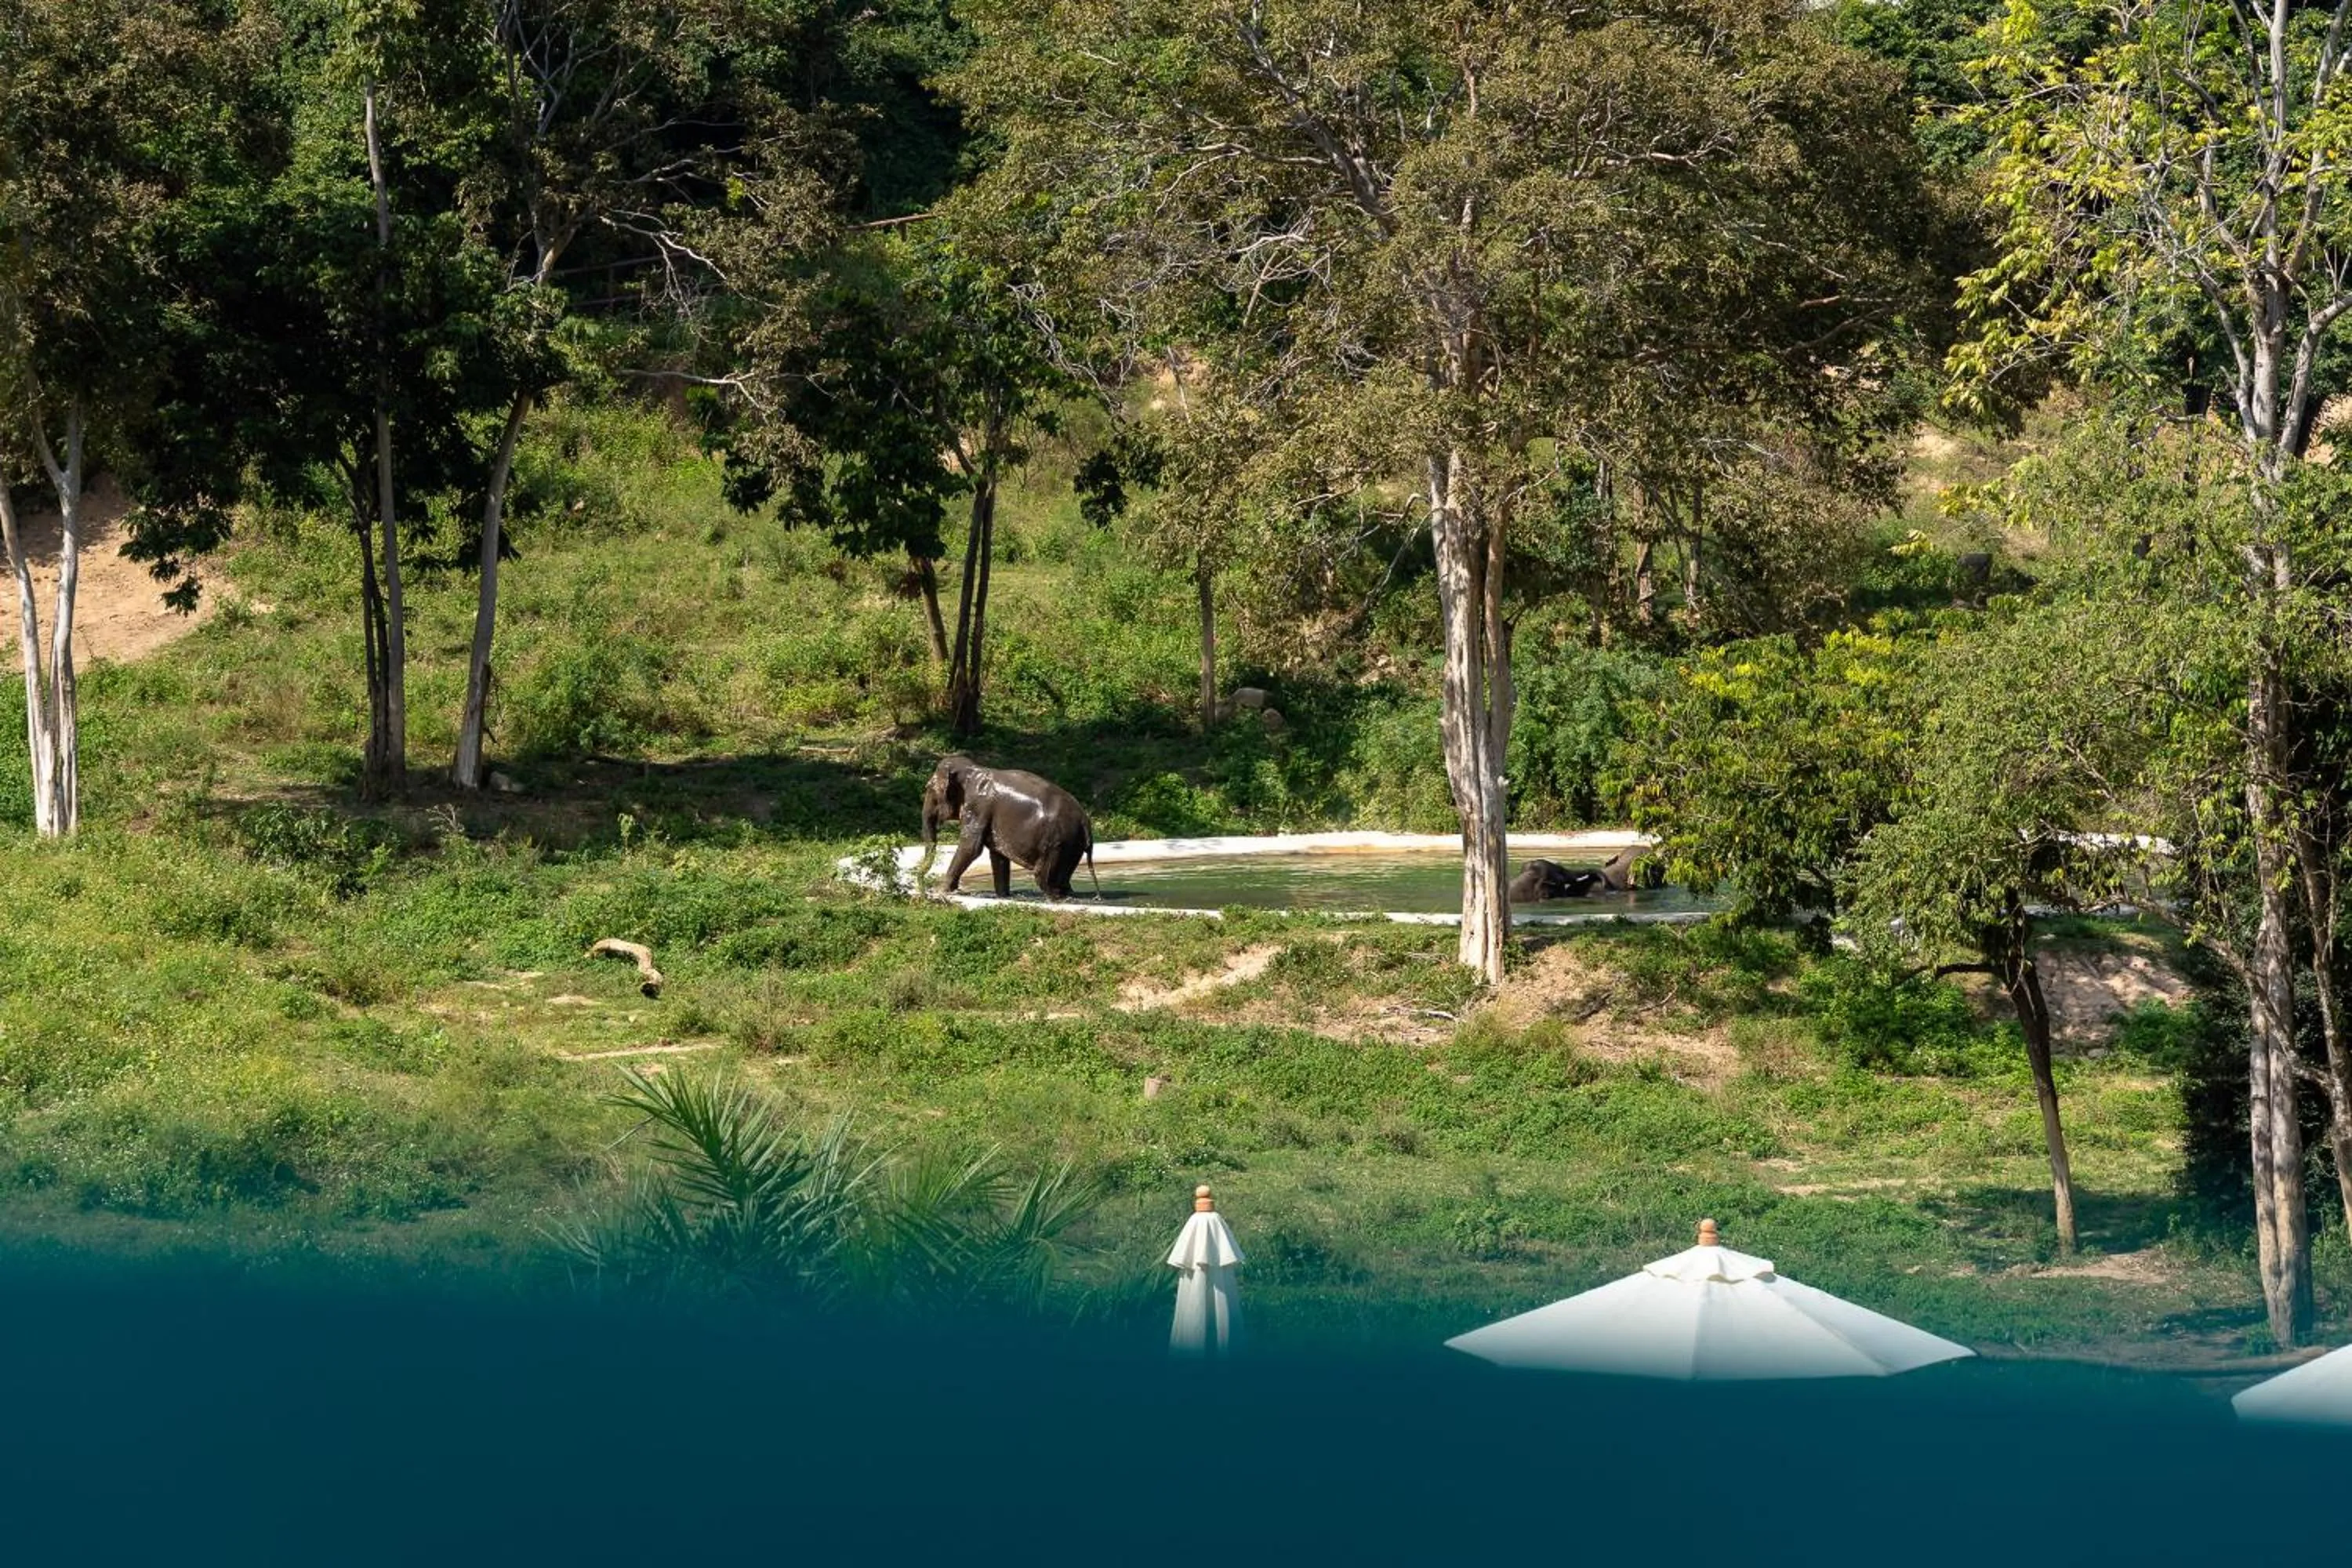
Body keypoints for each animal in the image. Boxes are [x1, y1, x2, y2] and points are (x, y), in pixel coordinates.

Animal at [920, 754, 1100, 901]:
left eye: (928, 788)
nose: (921, 881)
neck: (972, 770)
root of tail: (1085, 822)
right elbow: (998, 855)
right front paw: (1003, 896)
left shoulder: (977, 807)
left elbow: (970, 848)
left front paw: (940, 890)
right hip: (1072, 847)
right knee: (1063, 878)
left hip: (1057, 844)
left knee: (1043, 877)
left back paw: (1055, 897)